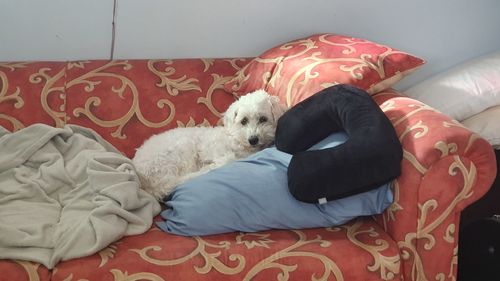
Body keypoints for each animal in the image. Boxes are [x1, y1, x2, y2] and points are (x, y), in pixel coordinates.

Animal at [131, 89, 286, 199]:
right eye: (244, 121)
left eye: (263, 119)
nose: (253, 139)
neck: (236, 138)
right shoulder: (220, 154)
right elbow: (225, 160)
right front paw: (209, 167)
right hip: (183, 148)